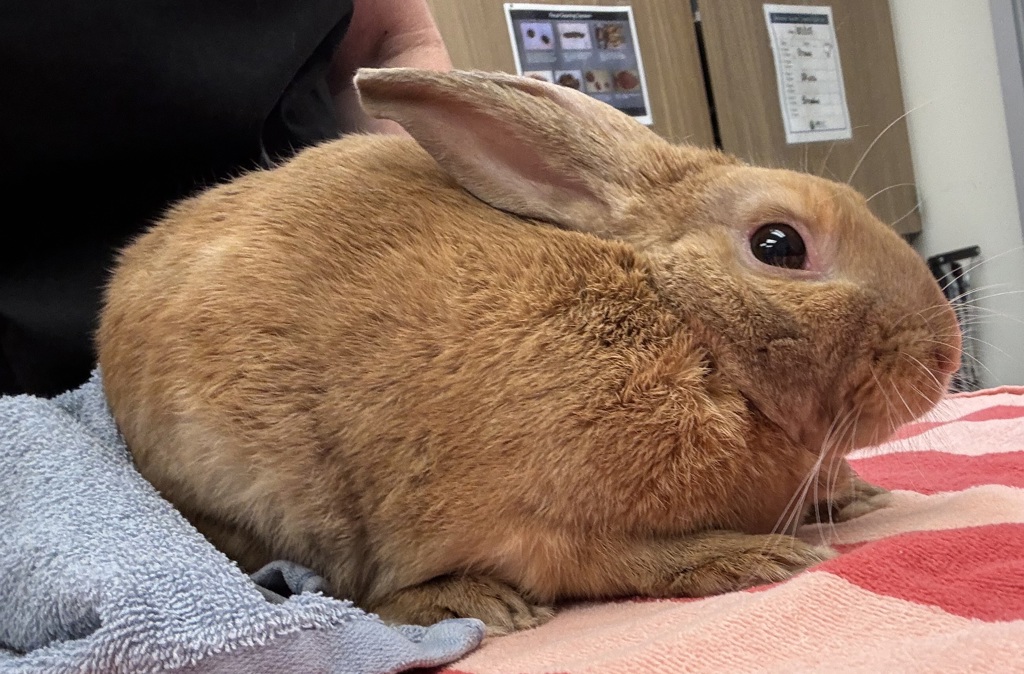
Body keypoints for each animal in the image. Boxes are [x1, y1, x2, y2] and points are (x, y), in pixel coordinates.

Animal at [97, 68, 962, 635]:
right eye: (778, 245)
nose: (946, 353)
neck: (686, 326)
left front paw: (856, 496)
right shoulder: (541, 521)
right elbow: (613, 561)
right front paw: (748, 558)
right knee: (355, 588)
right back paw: (471, 604)